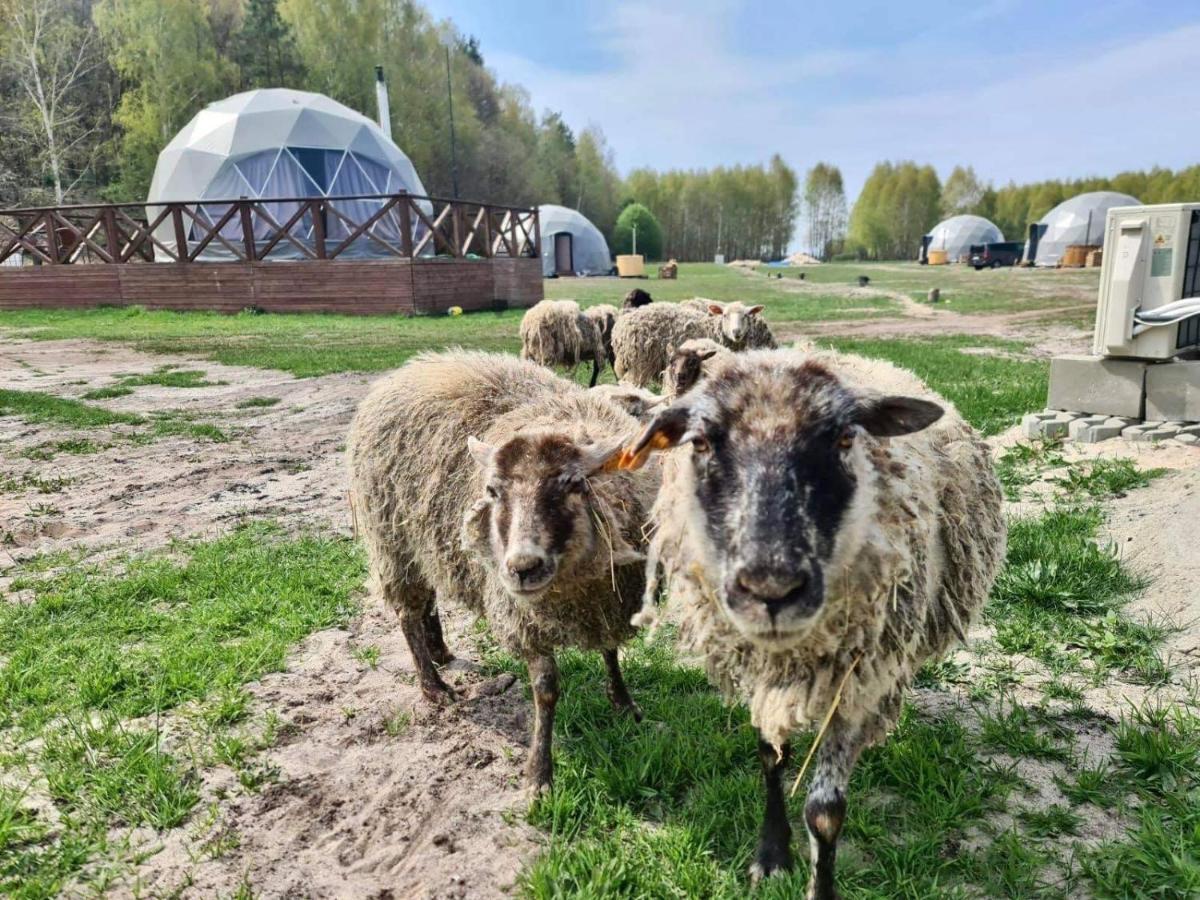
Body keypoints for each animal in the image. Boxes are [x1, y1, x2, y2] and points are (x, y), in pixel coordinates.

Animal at [348, 352, 657, 787]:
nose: (522, 568)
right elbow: (546, 690)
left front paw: (624, 703)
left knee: (429, 600)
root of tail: (411, 368)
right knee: (408, 613)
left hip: (428, 541)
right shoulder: (522, 614)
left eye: (571, 484)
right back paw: (434, 686)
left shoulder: (606, 598)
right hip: (395, 543)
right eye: (492, 491)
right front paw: (539, 775)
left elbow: (610, 650)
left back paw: (441, 652)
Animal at [619, 348, 1003, 897]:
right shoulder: (761, 670)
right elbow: (769, 757)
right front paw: (772, 855)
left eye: (844, 438)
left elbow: (824, 813)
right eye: (701, 441)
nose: (771, 589)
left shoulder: (856, 678)